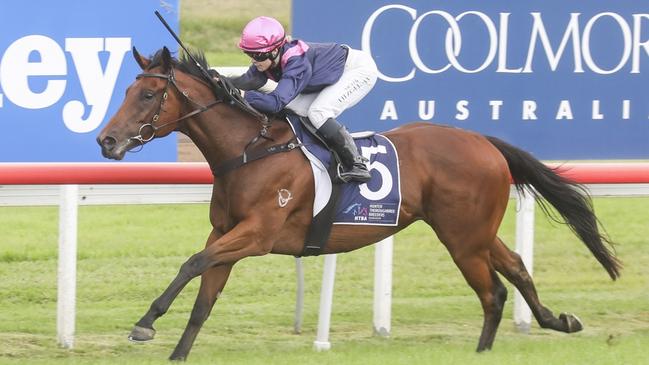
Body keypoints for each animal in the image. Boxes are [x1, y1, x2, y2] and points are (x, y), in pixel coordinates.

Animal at [97, 47, 624, 360]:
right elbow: (204, 297)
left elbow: (191, 262)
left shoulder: (257, 234)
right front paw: (175, 351)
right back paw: (555, 321)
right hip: (471, 231)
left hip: (463, 238)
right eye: (127, 89)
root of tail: (484, 142)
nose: (107, 140)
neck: (250, 148)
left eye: (149, 94)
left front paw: (144, 324)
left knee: (493, 290)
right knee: (512, 268)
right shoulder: (226, 233)